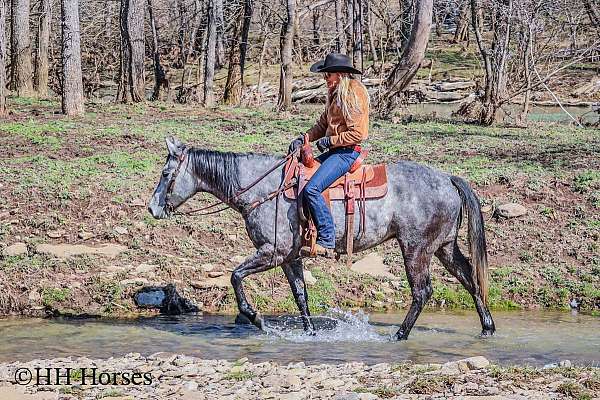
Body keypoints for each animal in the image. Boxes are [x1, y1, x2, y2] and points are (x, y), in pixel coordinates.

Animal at [148, 136, 494, 340]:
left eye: (166, 175)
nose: (152, 208)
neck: (265, 188)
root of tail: (447, 178)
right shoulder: (290, 258)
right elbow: (300, 295)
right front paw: (311, 333)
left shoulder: (272, 252)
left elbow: (235, 276)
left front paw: (256, 318)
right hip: (444, 247)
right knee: (471, 279)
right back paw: (487, 328)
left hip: (416, 249)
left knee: (422, 292)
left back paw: (399, 336)